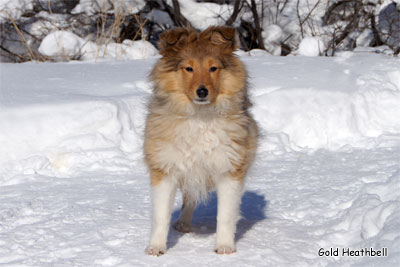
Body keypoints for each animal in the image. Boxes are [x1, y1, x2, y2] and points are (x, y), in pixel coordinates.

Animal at [143, 26, 256, 256]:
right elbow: (161, 215)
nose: (202, 91)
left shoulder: (229, 168)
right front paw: (156, 248)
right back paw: (183, 224)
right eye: (188, 68)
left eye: (213, 68)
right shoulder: (164, 168)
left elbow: (225, 215)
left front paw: (224, 247)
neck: (199, 117)